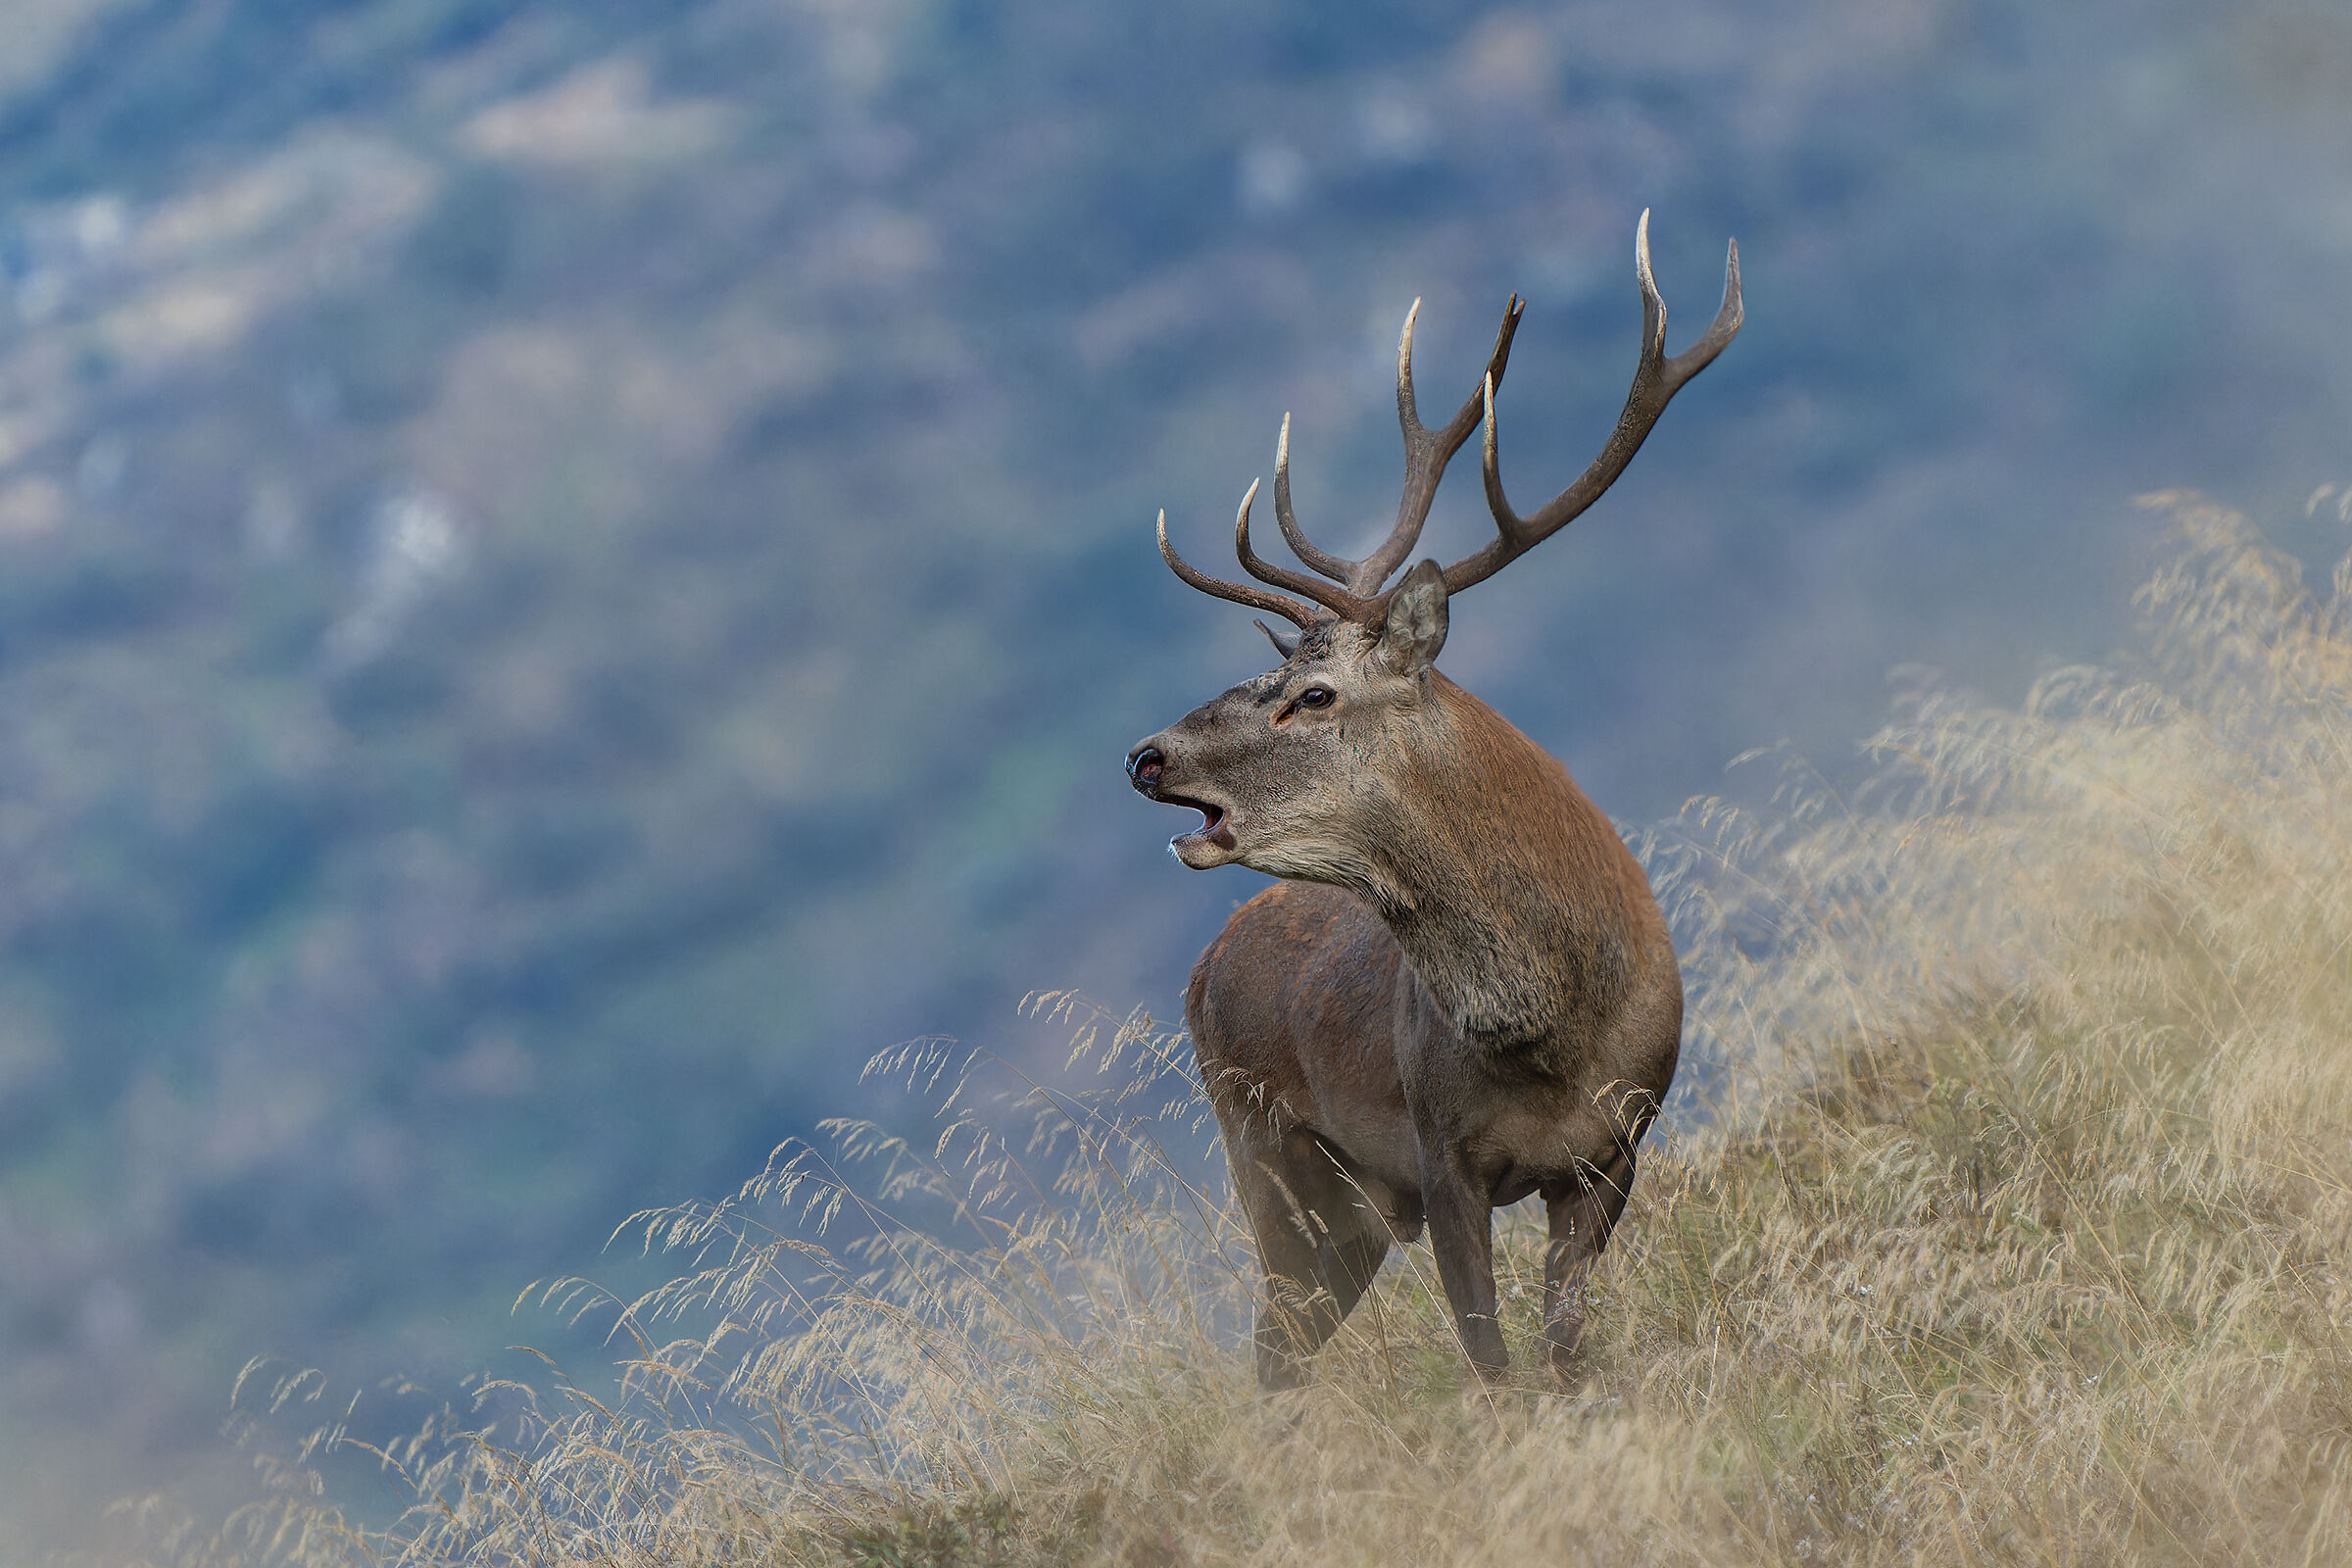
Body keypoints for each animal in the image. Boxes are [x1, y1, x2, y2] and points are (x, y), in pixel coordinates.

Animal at [1124, 212, 1740, 1388]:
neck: (1551, 1041)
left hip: (1349, 1212)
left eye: (1314, 694)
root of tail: (1201, 969)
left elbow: (1562, 1345)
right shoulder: (1441, 1153)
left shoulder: (1617, 1146)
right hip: (1270, 1163)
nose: (1146, 755)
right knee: (1272, 1354)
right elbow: (1491, 1361)